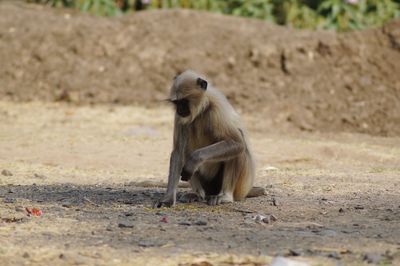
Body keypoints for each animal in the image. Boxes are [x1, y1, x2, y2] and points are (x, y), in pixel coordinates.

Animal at [153, 69, 262, 208]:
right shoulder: (180, 117)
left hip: (241, 186)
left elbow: (237, 143)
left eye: (183, 102)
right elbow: (178, 152)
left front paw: (194, 159)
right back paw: (198, 194)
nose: (179, 110)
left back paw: (226, 196)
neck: (202, 109)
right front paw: (168, 199)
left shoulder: (216, 109)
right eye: (177, 103)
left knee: (240, 148)